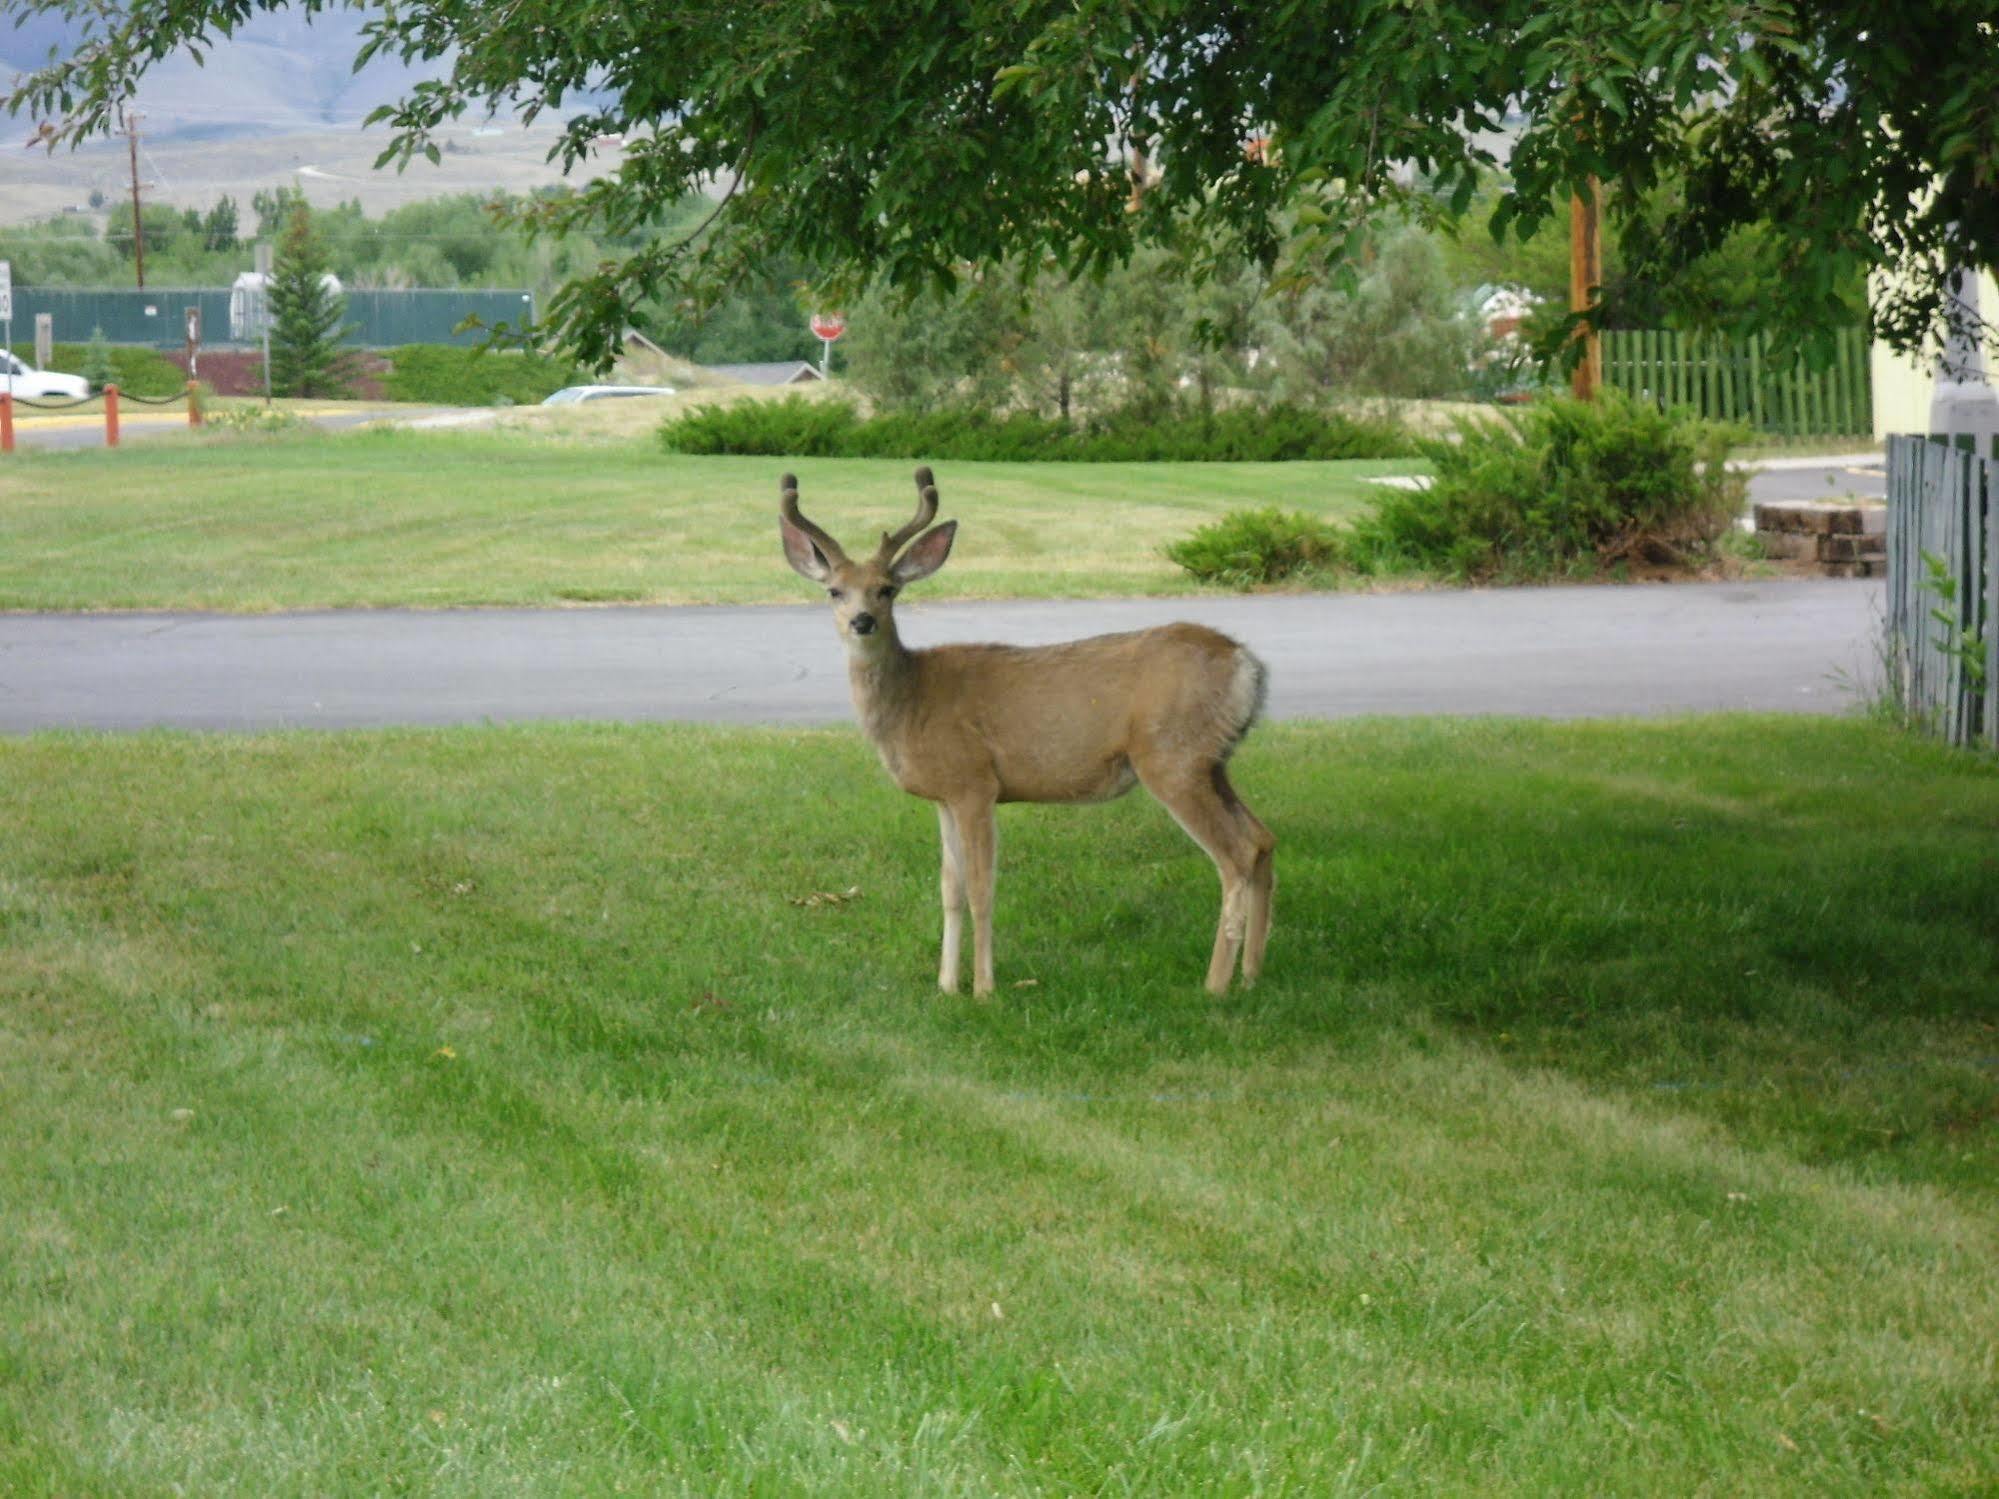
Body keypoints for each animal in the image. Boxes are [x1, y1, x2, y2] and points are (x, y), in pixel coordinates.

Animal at [779, 469, 1279, 999]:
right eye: (834, 590)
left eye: (887, 589)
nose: (863, 621)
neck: (912, 701)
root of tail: (1246, 663)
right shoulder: (944, 796)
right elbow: (949, 888)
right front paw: (946, 984)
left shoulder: (974, 782)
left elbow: (981, 888)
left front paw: (983, 988)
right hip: (1211, 760)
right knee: (1262, 839)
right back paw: (1251, 973)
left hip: (1171, 756)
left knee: (1236, 854)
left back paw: (1216, 983)